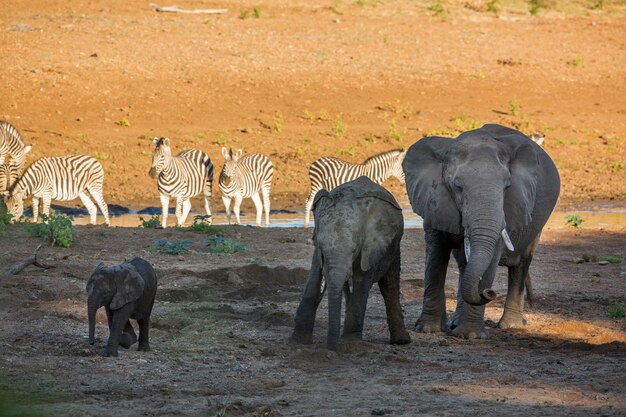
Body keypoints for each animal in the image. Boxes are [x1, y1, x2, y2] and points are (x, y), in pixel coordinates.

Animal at [288, 176, 410, 348]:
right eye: (322, 249)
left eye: (354, 250)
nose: (330, 348)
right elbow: (315, 277)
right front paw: (297, 343)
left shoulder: (371, 247)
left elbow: (361, 280)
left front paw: (350, 345)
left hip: (394, 244)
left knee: (389, 283)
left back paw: (401, 341)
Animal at [402, 123, 560, 338]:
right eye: (457, 187)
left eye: (507, 186)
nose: (489, 292)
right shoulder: (433, 200)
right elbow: (435, 256)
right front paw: (428, 330)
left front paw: (470, 336)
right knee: (464, 263)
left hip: (537, 226)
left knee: (521, 264)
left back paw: (511, 326)